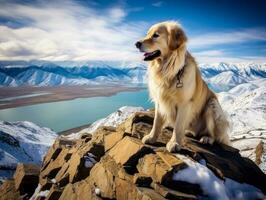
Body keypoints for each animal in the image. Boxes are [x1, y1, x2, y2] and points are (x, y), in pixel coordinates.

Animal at [135, 21, 231, 152]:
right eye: (147, 34)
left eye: (156, 35)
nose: (137, 43)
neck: (170, 71)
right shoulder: (160, 101)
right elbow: (157, 122)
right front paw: (151, 137)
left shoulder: (184, 103)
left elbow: (178, 125)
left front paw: (174, 143)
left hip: (212, 105)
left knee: (215, 135)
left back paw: (207, 138)